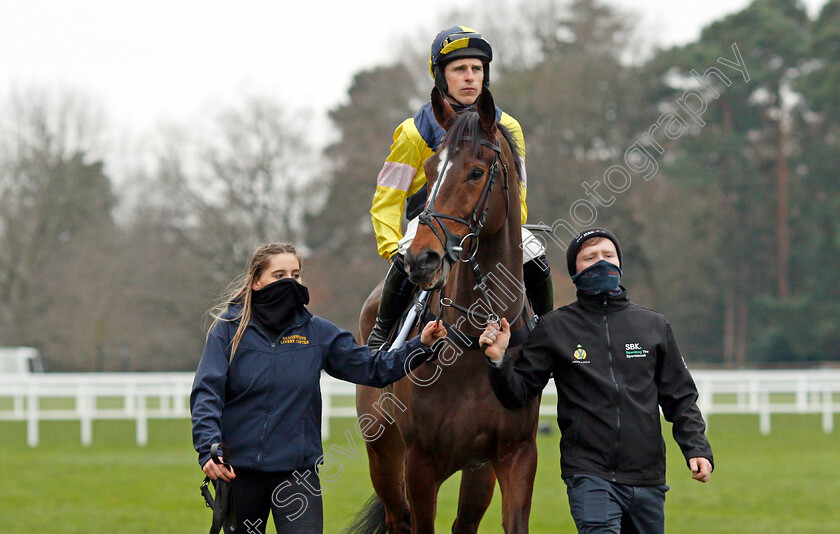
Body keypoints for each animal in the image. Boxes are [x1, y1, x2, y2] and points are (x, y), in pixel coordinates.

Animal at [352, 89, 540, 534]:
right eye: (430, 168)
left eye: (476, 172)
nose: (421, 259)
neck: (472, 340)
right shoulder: (421, 465)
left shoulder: (515, 454)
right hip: (383, 454)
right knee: (397, 517)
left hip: (476, 472)